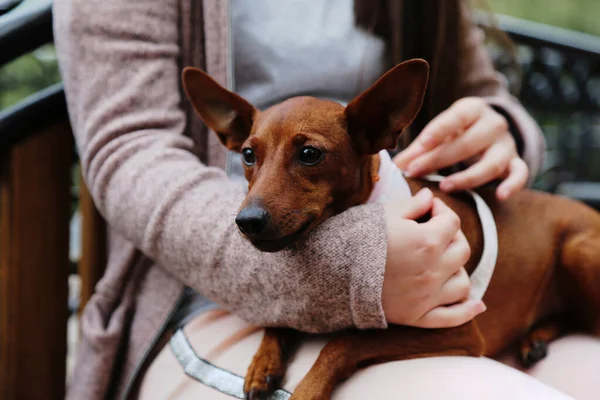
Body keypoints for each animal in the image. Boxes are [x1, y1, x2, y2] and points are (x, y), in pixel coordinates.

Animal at [182, 60, 600, 400]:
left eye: (310, 154)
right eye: (248, 155)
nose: (246, 221)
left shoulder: (458, 330)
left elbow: (344, 343)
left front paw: (307, 389)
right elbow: (281, 321)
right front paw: (263, 363)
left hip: (577, 251)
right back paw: (536, 338)